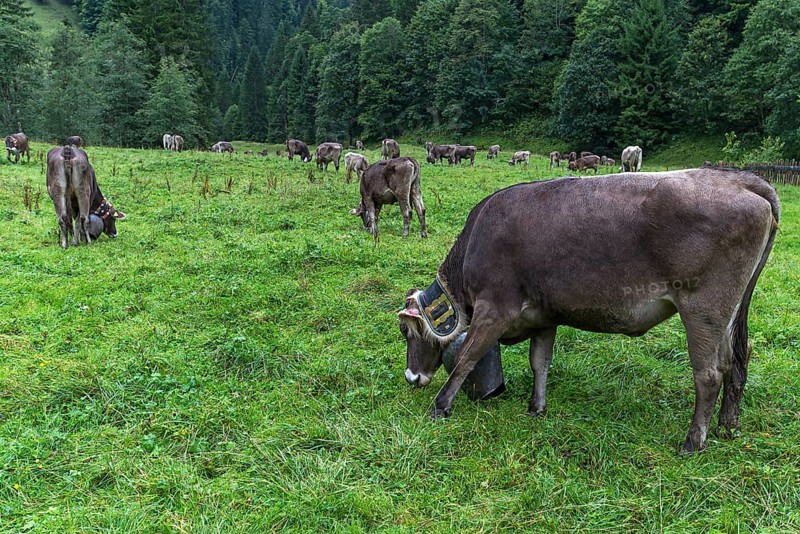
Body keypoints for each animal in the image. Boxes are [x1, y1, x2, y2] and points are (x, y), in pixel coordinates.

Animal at [398, 168, 780, 454]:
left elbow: (467, 359)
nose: (412, 377)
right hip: (730, 311)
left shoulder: (495, 308)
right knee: (736, 359)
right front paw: (536, 408)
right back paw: (728, 425)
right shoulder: (544, 316)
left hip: (703, 308)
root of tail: (740, 179)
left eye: (405, 333)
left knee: (710, 373)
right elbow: (540, 362)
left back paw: (693, 441)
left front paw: (440, 406)